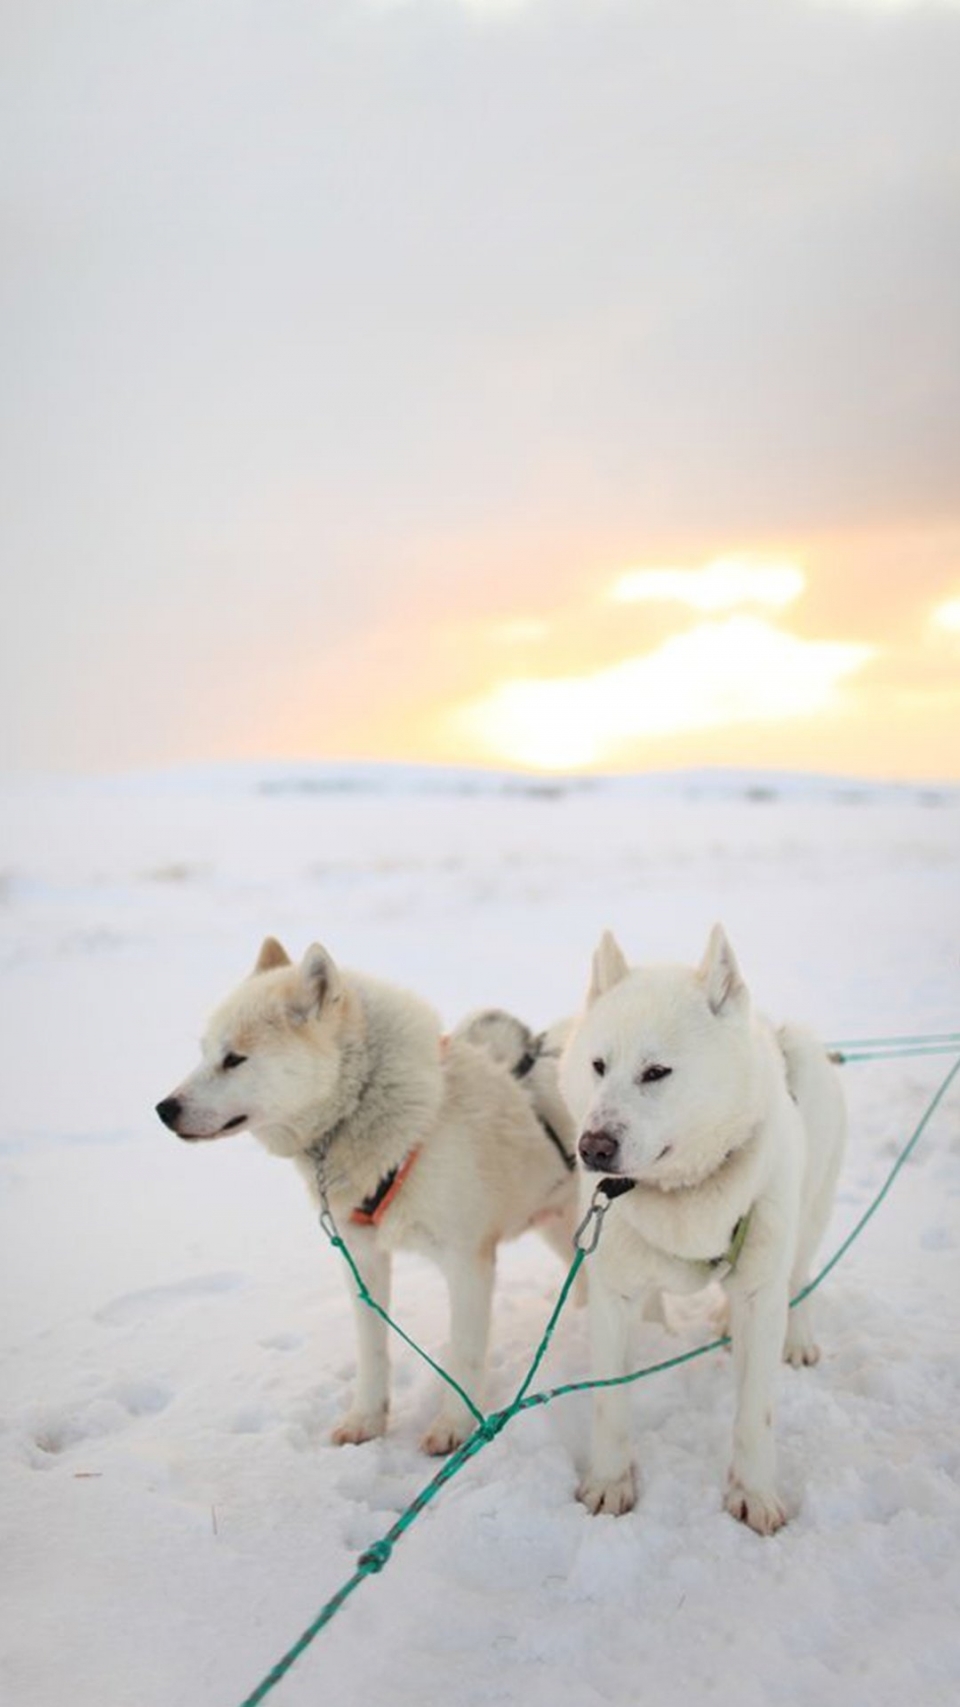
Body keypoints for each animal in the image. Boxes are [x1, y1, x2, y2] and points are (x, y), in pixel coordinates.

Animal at [156, 942, 573, 1461]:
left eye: (235, 1059)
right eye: (205, 1053)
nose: (163, 1109)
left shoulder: (468, 1263)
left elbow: (464, 1352)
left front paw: (456, 1428)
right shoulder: (362, 1259)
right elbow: (372, 1351)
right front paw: (366, 1421)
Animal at [560, 928, 843, 1543]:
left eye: (656, 1072)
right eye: (598, 1065)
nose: (592, 1148)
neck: (683, 1195)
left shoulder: (760, 1293)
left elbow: (755, 1413)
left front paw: (754, 1494)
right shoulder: (613, 1293)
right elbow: (609, 1403)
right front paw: (610, 1483)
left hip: (807, 1211)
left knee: (799, 1275)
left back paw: (796, 1336)